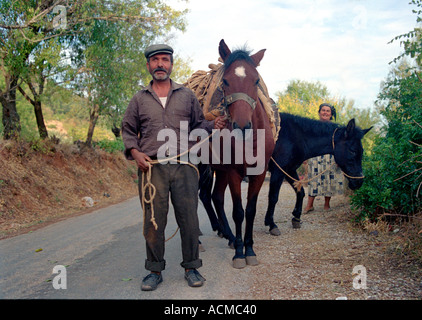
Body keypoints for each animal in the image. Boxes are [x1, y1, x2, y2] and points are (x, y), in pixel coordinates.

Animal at [209, 40, 276, 268]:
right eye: (225, 81)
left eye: (256, 80)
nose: (241, 126)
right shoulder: (234, 173)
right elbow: (238, 212)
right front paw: (240, 253)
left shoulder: (259, 174)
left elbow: (250, 210)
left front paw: (249, 248)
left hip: (219, 172)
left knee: (216, 197)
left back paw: (228, 236)